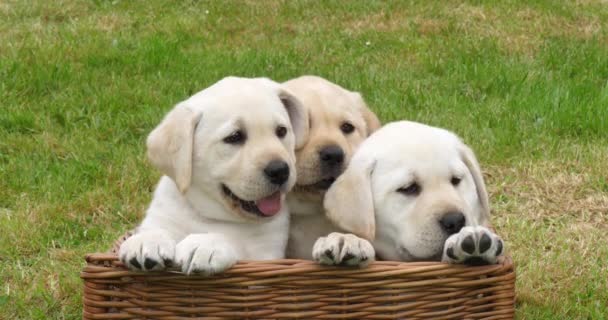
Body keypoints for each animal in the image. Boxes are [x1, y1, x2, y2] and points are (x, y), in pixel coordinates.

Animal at [119, 77, 308, 276]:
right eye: (234, 137)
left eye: (282, 131)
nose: (280, 170)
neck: (210, 215)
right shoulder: (162, 214)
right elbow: (156, 227)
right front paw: (147, 240)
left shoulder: (265, 254)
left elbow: (236, 244)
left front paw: (206, 245)